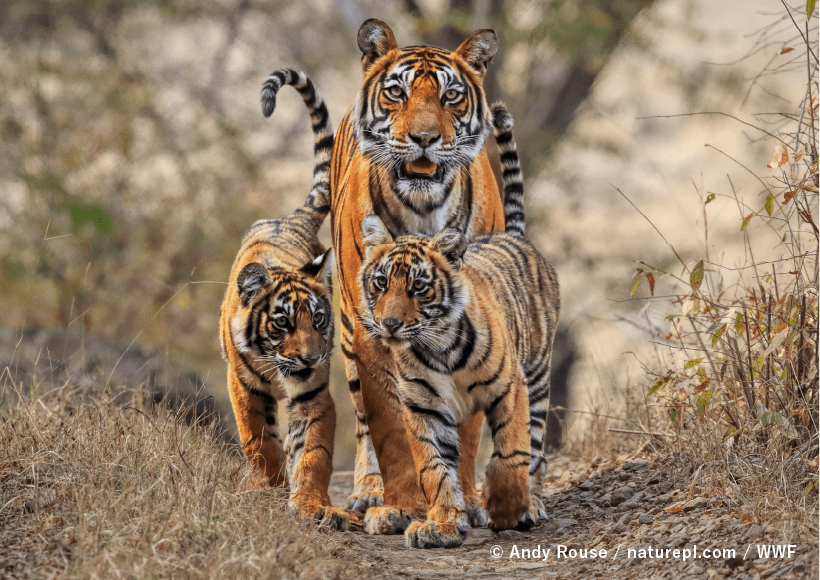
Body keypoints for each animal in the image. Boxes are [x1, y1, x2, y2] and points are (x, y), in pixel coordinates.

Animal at [326, 19, 520, 536]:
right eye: (397, 92)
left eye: (451, 96)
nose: (424, 138)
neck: (423, 206)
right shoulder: (372, 332)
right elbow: (392, 430)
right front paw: (401, 507)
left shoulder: (474, 323)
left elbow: (467, 430)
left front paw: (467, 501)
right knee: (363, 420)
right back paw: (367, 492)